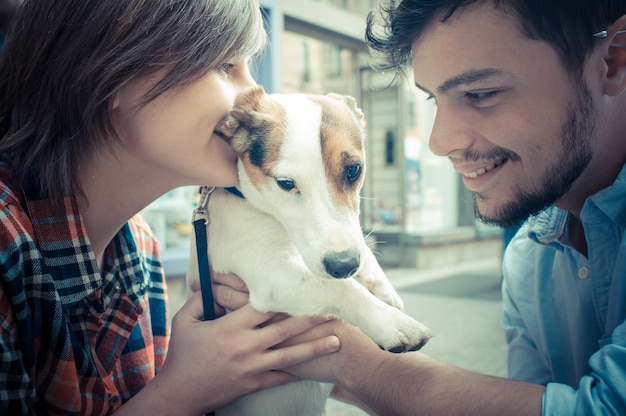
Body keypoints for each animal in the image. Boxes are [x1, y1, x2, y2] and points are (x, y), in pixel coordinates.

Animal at [185, 85, 428, 416]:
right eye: (286, 183)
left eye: (354, 170)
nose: (344, 266)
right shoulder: (273, 277)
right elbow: (342, 289)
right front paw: (391, 322)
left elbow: (360, 247)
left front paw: (383, 288)